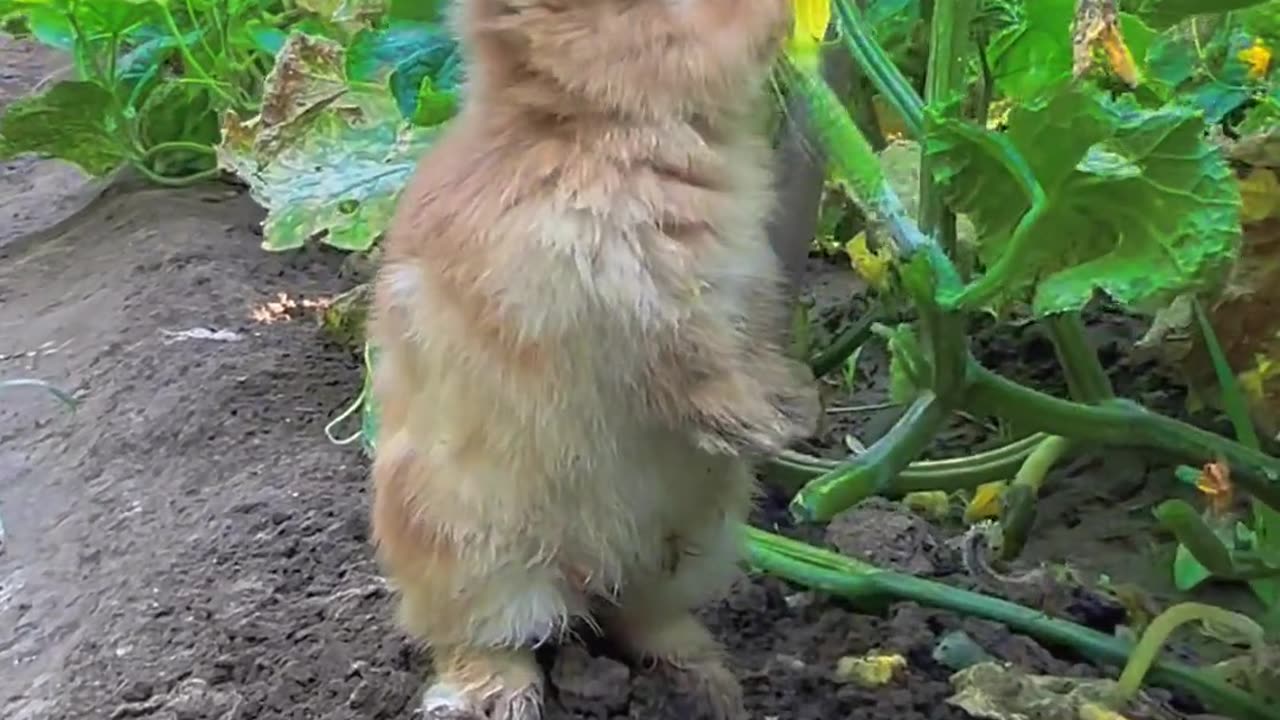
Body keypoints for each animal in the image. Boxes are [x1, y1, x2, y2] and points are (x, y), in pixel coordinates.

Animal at [366, 0, 814, 712]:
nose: (779, 20)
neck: (592, 127)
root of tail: (586, 579)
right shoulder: (616, 311)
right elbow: (691, 372)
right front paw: (761, 426)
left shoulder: (746, 296)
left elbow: (753, 352)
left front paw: (796, 407)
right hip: (478, 562)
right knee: (489, 642)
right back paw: (503, 699)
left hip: (691, 549)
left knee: (640, 618)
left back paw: (709, 680)